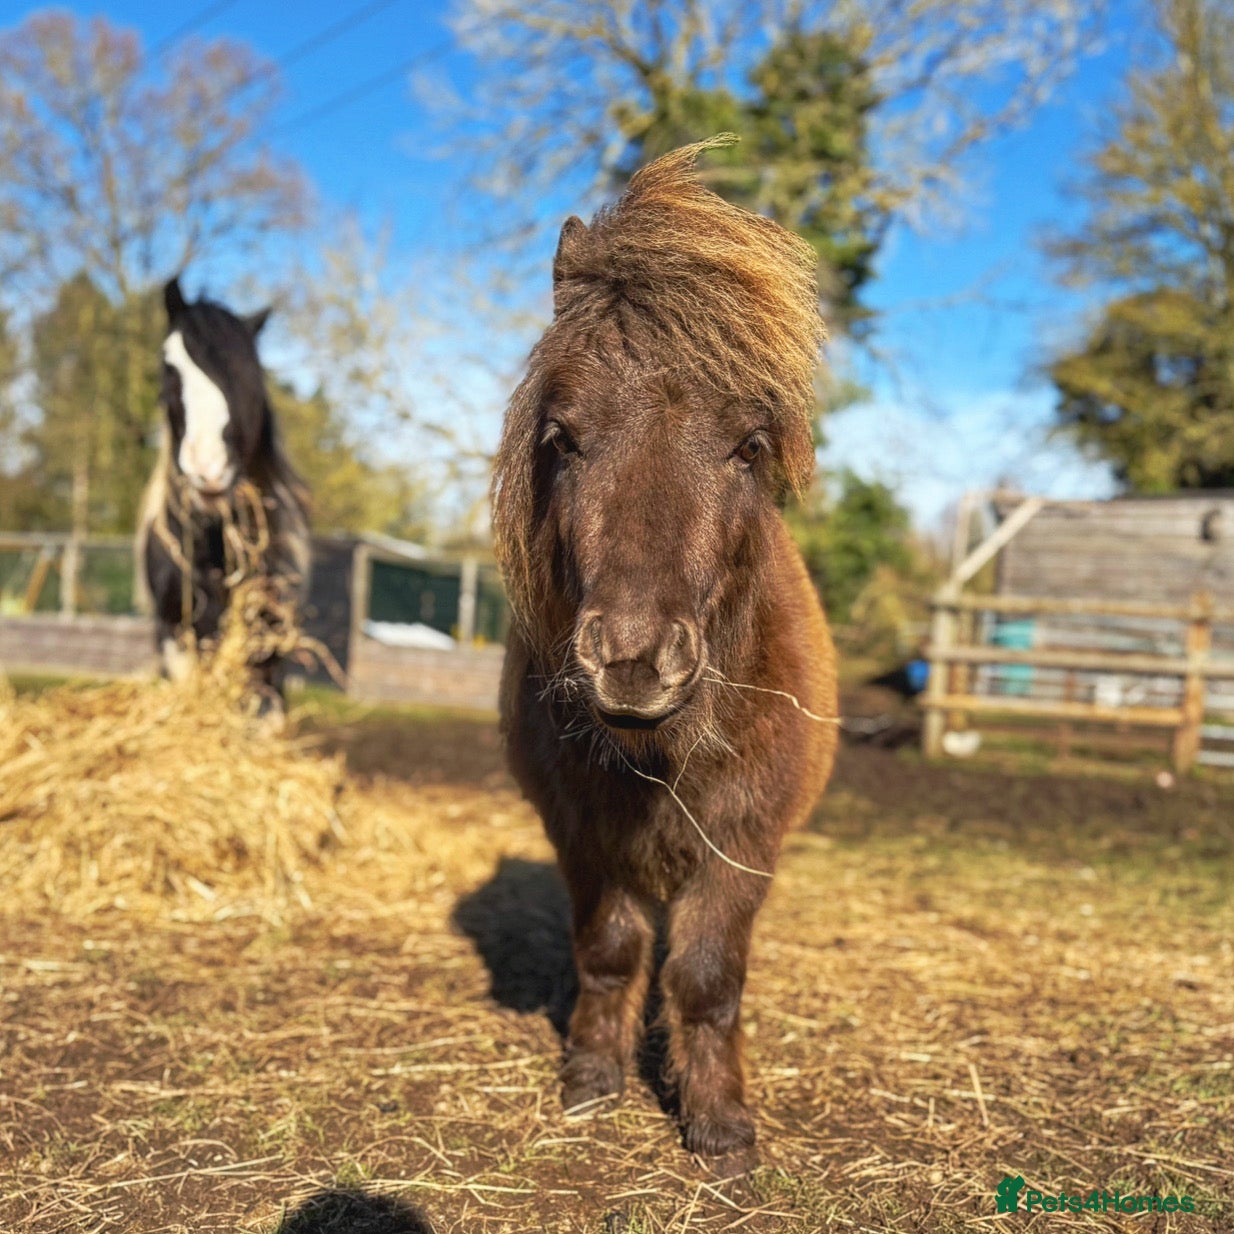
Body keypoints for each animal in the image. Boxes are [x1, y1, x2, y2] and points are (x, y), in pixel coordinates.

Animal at [492, 136, 839, 1168]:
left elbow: (708, 976)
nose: (634, 661)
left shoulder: (744, 844)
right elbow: (611, 953)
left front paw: (720, 1122)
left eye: (750, 445)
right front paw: (592, 1077)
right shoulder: (581, 835)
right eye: (563, 438)